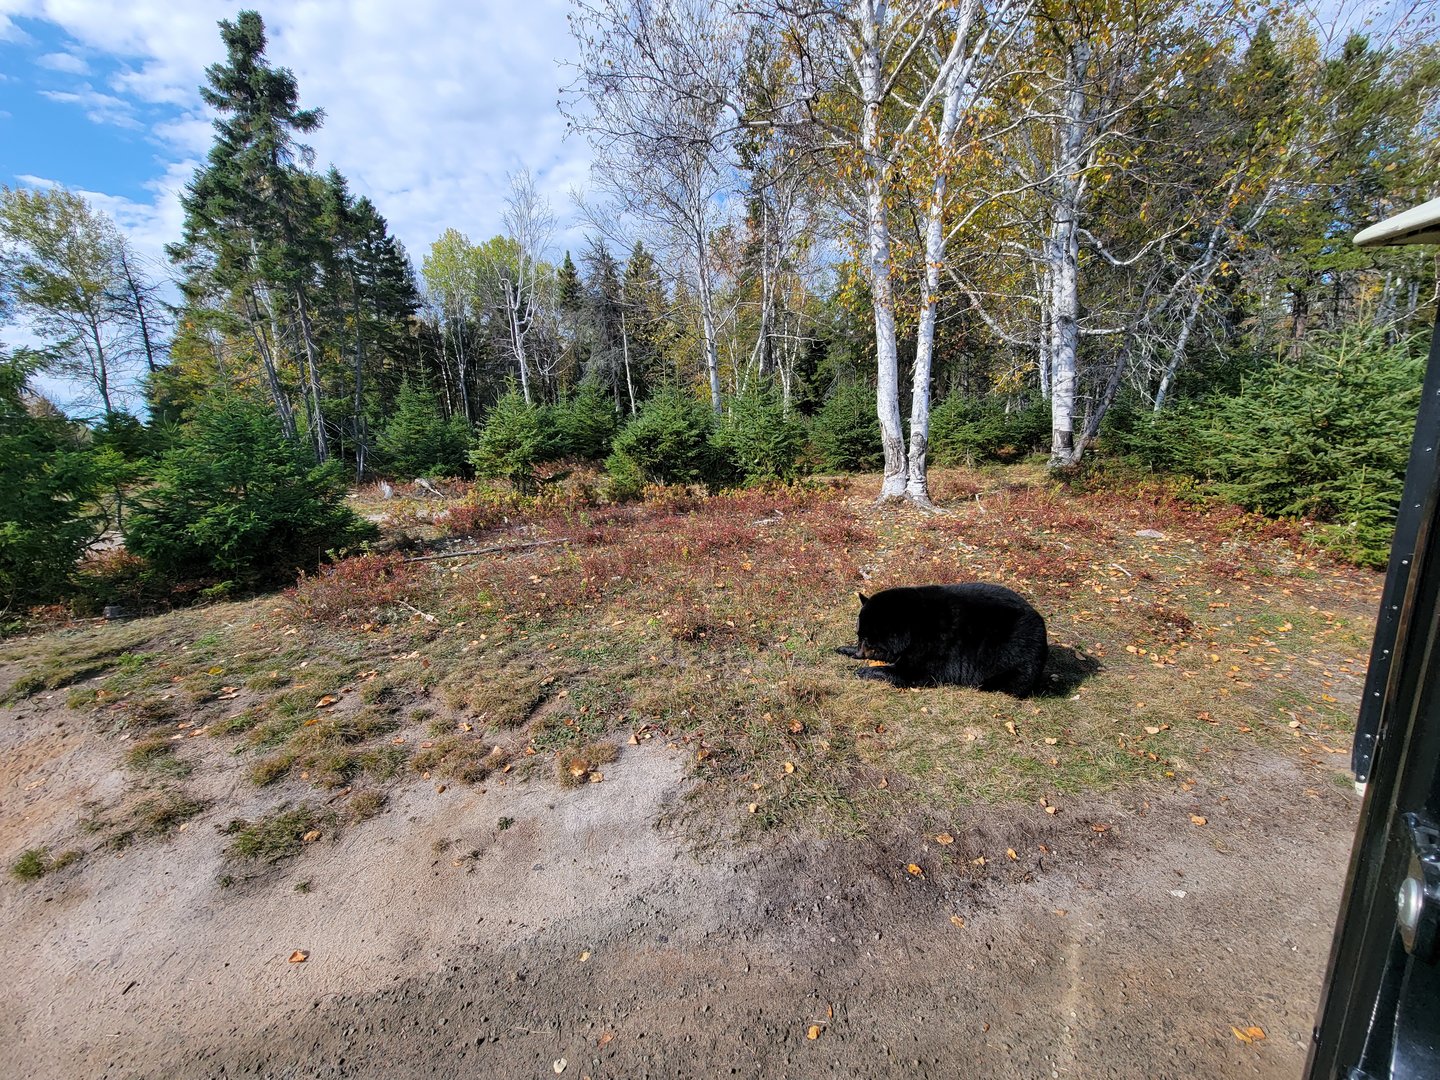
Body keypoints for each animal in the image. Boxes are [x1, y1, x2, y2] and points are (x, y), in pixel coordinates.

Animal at [836, 583, 1049, 697]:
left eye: (868, 639)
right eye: (859, 635)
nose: (858, 654)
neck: (911, 623)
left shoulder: (935, 645)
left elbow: (911, 672)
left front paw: (861, 670)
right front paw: (844, 649)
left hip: (1014, 655)